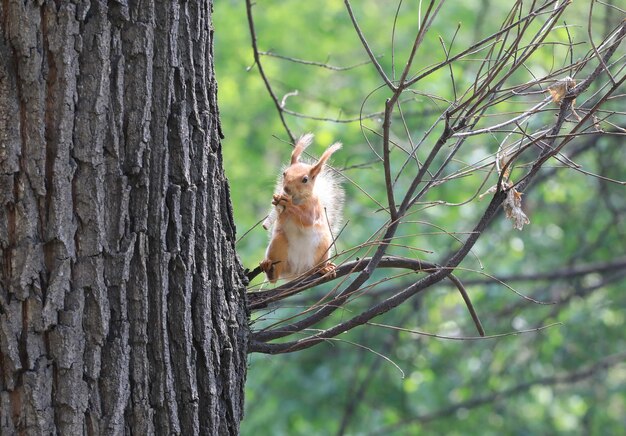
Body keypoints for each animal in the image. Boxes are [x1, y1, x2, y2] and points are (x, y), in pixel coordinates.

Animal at [260, 133, 346, 282]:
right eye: (284, 173)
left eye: (305, 179)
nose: (286, 189)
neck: (297, 200)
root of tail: (298, 272)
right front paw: (277, 200)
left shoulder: (314, 207)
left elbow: (307, 219)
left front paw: (287, 203)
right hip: (278, 242)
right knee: (275, 277)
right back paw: (269, 268)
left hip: (323, 247)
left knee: (318, 265)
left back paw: (325, 269)